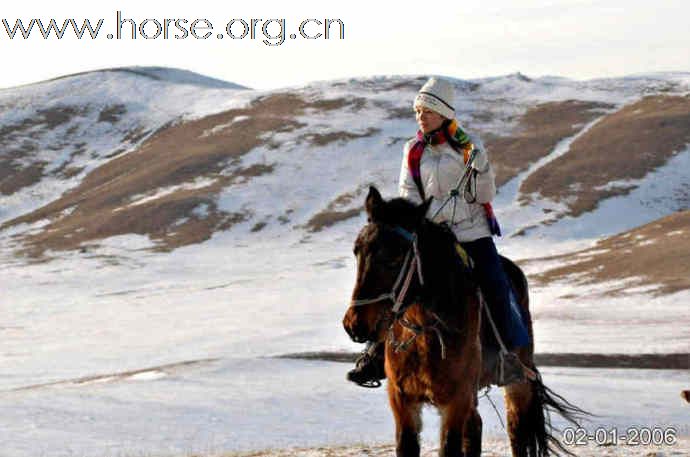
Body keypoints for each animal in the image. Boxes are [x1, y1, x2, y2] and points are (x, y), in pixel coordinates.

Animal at [342, 186, 584, 456]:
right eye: (358, 251)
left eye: (395, 259)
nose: (354, 324)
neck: (426, 334)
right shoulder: (402, 400)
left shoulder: (456, 400)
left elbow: (450, 446)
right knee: (475, 428)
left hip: (517, 384)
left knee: (517, 432)